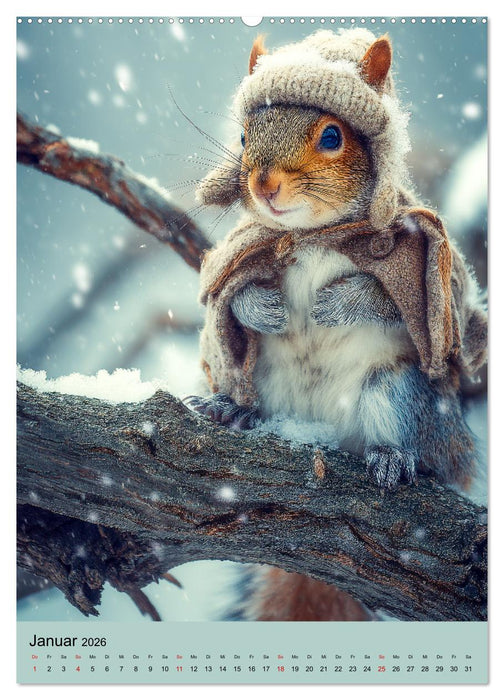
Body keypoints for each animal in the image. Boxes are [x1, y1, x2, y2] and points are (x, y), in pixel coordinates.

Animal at [184, 29, 487, 621]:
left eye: (332, 136)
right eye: (243, 135)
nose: (264, 183)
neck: (312, 235)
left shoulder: (419, 266)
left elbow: (398, 303)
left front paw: (341, 302)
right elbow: (232, 297)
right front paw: (262, 308)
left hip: (400, 394)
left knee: (407, 430)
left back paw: (393, 458)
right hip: (266, 382)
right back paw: (233, 410)